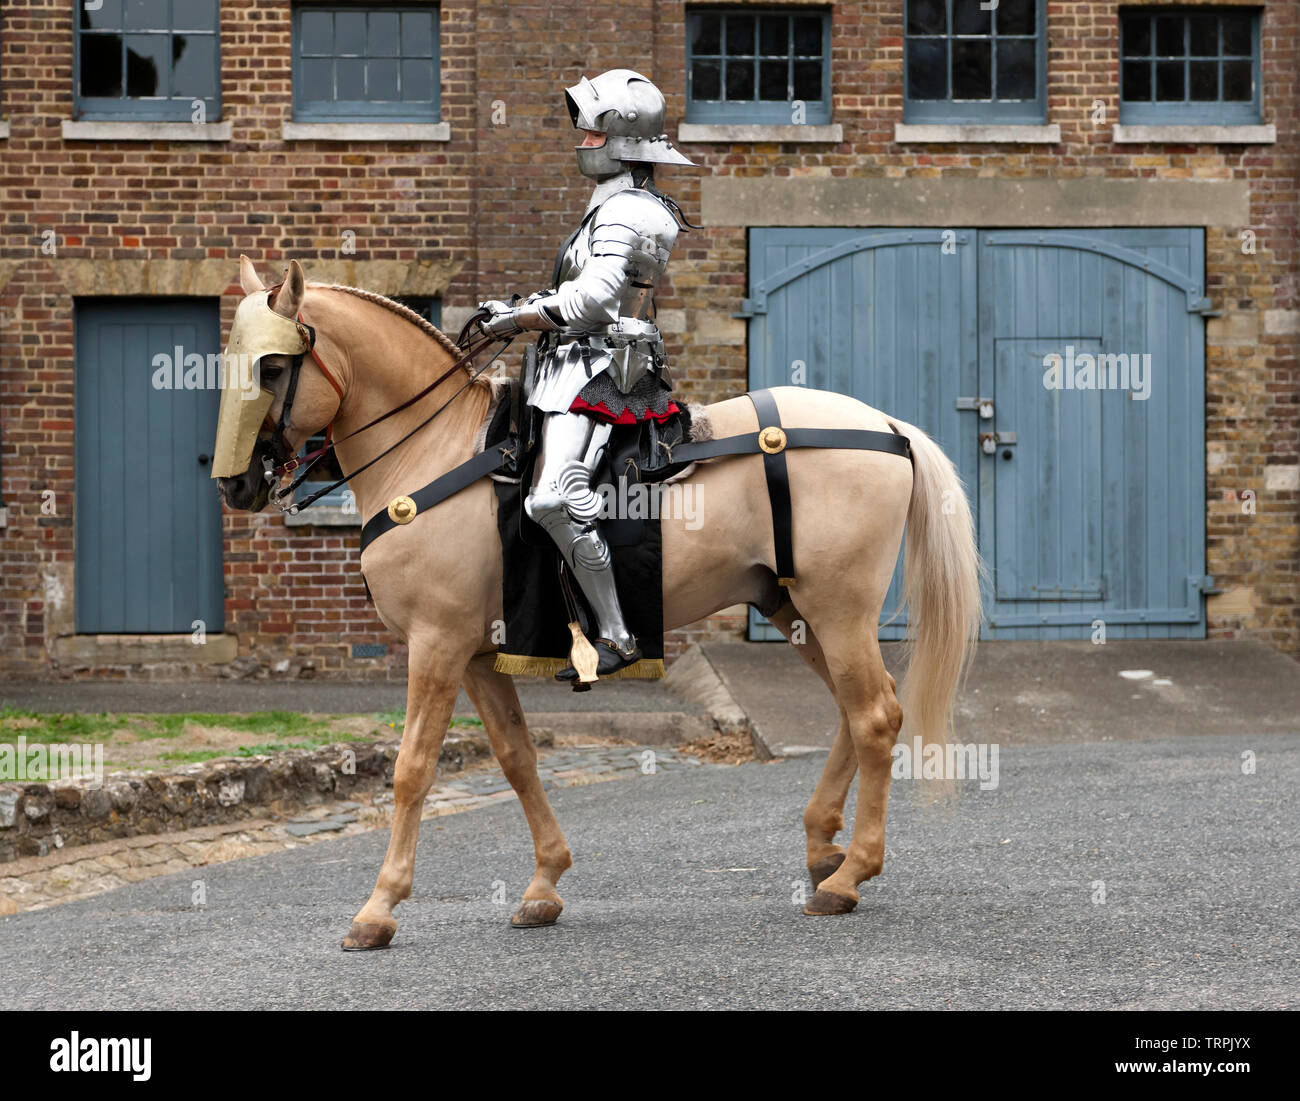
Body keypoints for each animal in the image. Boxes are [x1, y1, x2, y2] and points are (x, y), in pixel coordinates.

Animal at [218, 256, 977, 946]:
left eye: (274, 369)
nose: (236, 485)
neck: (434, 451)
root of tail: (887, 427)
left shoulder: (436, 645)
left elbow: (412, 769)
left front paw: (379, 907)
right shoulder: (478, 656)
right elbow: (517, 757)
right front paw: (544, 883)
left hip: (837, 610)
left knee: (874, 716)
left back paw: (850, 875)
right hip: (796, 612)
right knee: (860, 710)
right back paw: (825, 849)